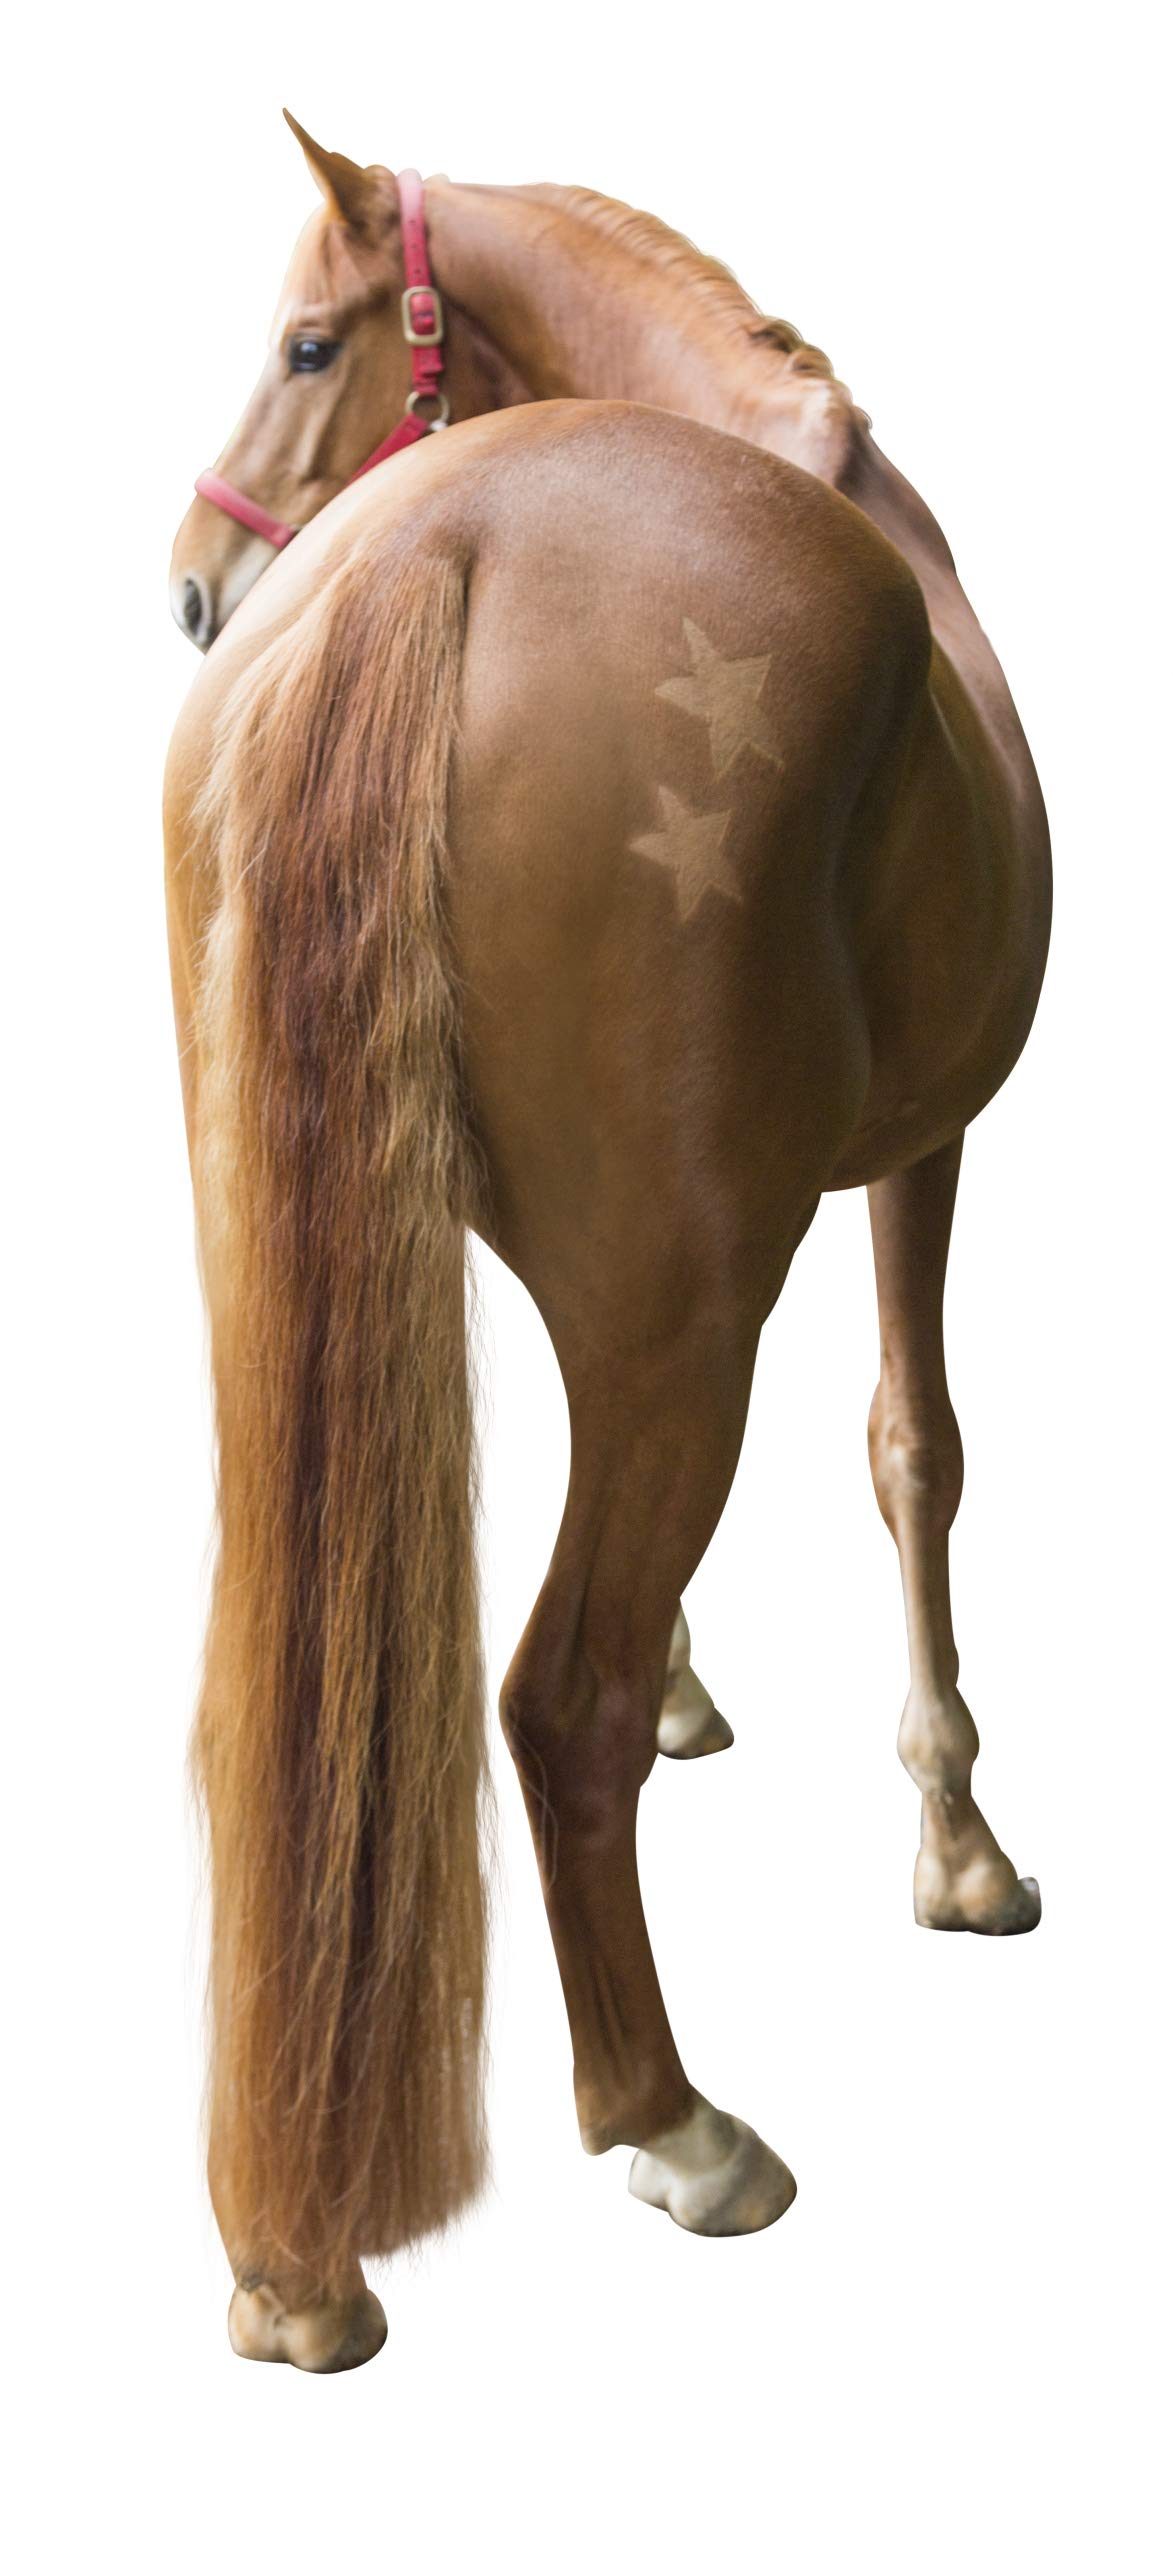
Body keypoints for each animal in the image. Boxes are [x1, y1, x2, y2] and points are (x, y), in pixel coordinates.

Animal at [164, 136, 1051, 2374]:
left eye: (306, 342)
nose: (188, 586)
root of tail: (438, 543)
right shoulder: (919, 1148)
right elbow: (914, 1453)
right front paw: (956, 1844)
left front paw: (692, 1687)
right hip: (693, 1317)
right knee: (544, 1696)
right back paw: (675, 2120)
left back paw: (292, 2266)